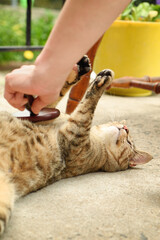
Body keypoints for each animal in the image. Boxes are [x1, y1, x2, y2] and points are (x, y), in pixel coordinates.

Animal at [0, 55, 152, 234]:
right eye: (128, 137)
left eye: (129, 143)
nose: (126, 128)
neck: (96, 137)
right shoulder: (48, 114)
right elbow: (53, 96)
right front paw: (79, 68)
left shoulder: (75, 135)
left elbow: (86, 108)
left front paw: (101, 80)